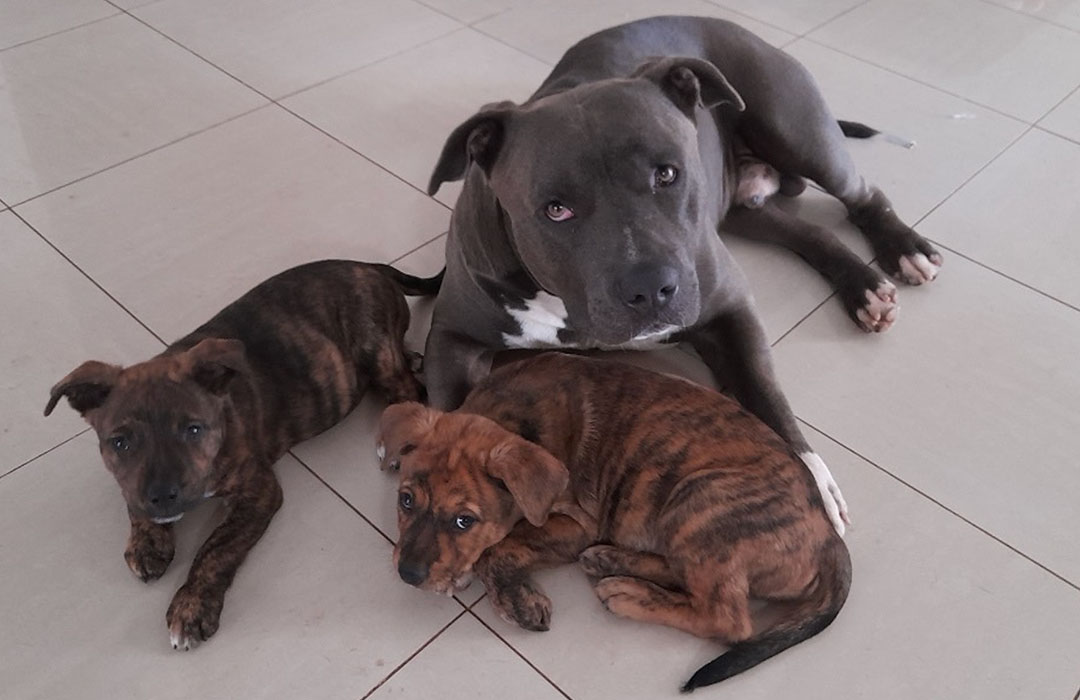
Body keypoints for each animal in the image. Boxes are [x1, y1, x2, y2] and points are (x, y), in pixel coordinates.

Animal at [44, 258, 436, 652]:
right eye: (120, 442)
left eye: (193, 430)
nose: (163, 496)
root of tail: (368, 265)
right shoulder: (133, 481)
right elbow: (132, 497)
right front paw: (147, 542)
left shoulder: (258, 490)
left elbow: (217, 548)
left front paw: (191, 606)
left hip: (376, 351)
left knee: (411, 388)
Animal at [380, 352, 851, 691]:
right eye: (405, 500)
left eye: (465, 521)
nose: (407, 575)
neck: (511, 416)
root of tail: (830, 539)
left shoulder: (576, 525)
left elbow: (499, 547)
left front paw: (516, 598)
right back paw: (612, 561)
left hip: (701, 495)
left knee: (727, 619)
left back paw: (628, 594)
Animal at [421, 16, 946, 533]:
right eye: (555, 209)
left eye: (667, 174)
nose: (649, 289)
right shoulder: (451, 338)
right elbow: (450, 419)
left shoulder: (731, 310)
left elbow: (767, 397)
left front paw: (812, 486)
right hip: (741, 207)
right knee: (811, 233)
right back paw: (864, 288)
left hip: (800, 135)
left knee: (863, 194)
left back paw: (901, 254)